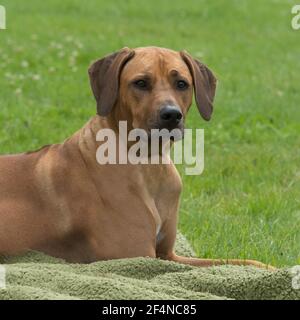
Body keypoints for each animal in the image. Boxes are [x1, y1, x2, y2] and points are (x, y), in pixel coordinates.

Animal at [0, 46, 272, 268]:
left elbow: (241, 263)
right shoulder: (139, 257)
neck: (148, 163)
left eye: (181, 83)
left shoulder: (168, 254)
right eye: (141, 83)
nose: (171, 115)